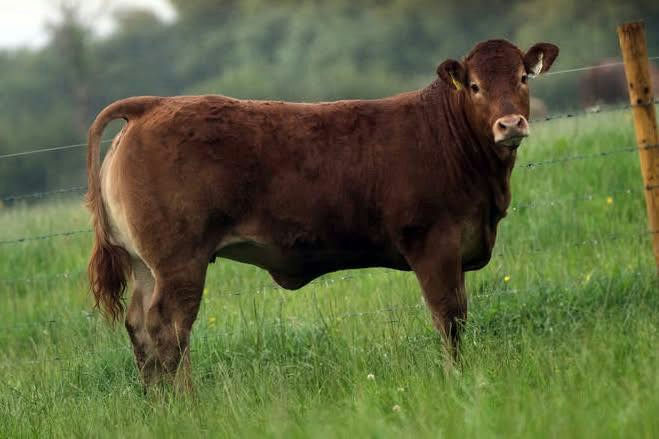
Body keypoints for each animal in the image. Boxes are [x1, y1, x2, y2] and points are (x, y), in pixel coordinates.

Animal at [86, 39, 558, 391]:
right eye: (475, 86)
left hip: (145, 266)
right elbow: (449, 317)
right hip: (179, 263)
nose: (510, 124)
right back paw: (188, 403)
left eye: (522, 78)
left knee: (140, 329)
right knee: (169, 330)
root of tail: (152, 105)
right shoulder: (433, 243)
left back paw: (159, 404)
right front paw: (455, 378)